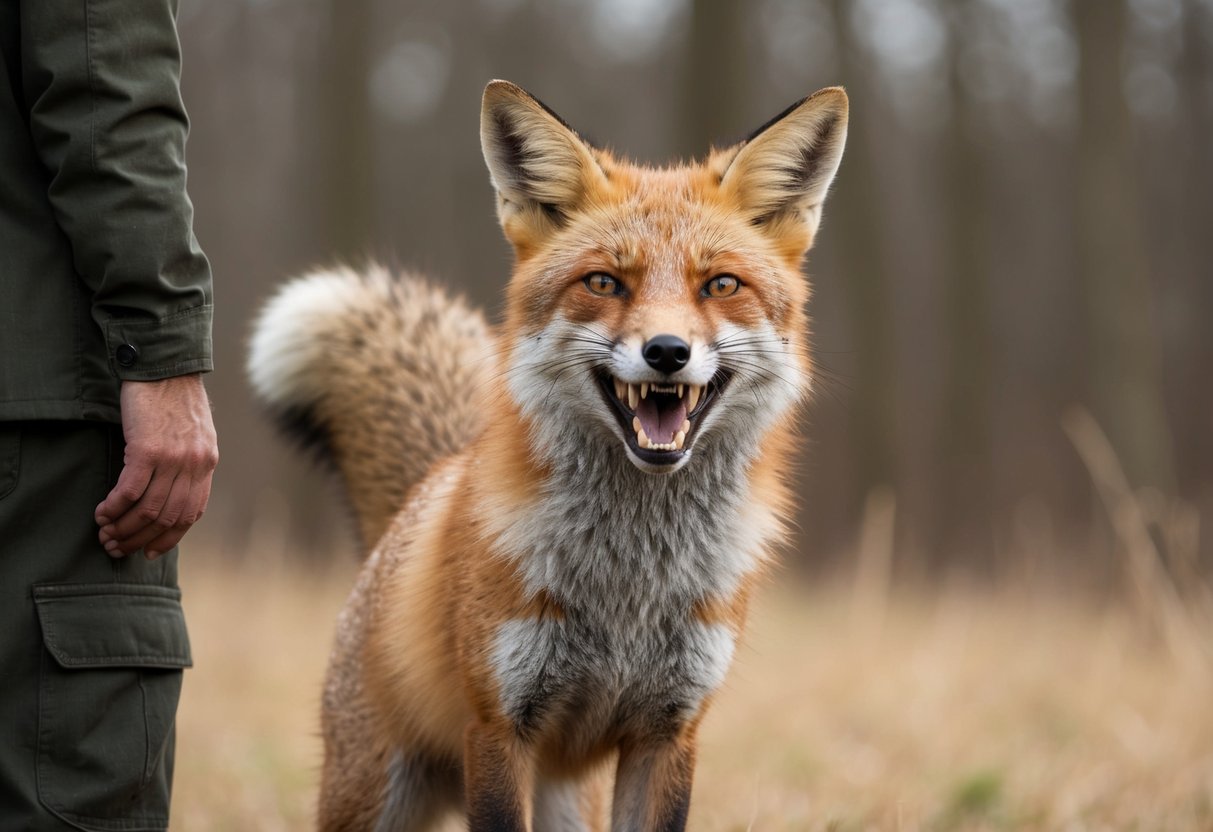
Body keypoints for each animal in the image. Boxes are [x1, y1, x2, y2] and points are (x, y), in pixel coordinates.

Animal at [247, 80, 848, 830]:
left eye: (720, 285)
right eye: (604, 283)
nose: (667, 352)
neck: (630, 587)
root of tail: (420, 494)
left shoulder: (669, 732)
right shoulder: (499, 726)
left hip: (567, 798)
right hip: (372, 800)